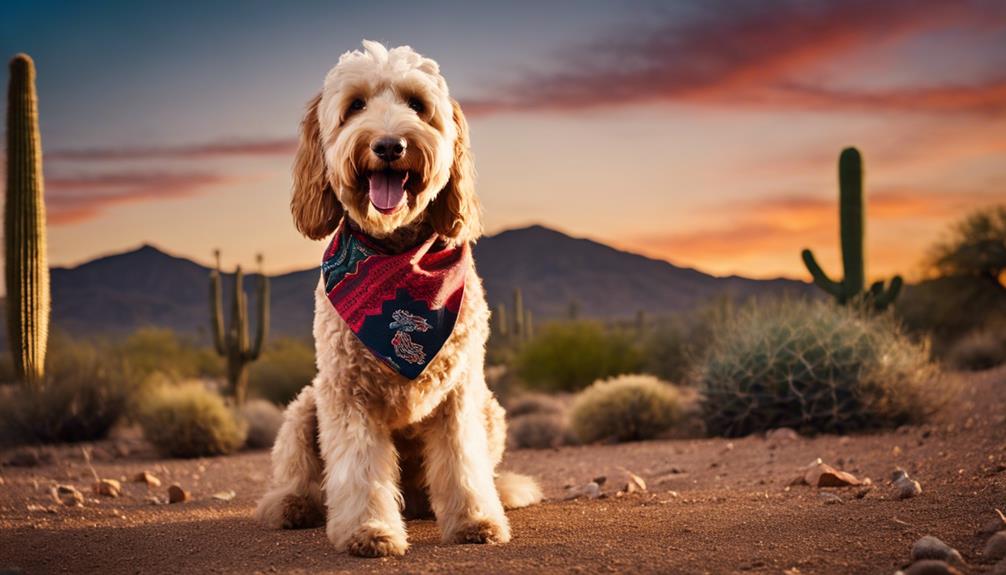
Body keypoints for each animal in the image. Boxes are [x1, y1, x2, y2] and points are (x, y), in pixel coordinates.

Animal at [257, 39, 543, 558]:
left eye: (417, 105)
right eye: (355, 106)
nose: (390, 145)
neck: (396, 251)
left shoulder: (459, 394)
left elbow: (463, 463)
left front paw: (475, 520)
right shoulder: (347, 391)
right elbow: (360, 469)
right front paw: (369, 531)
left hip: (491, 410)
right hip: (304, 407)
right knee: (301, 475)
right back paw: (291, 505)